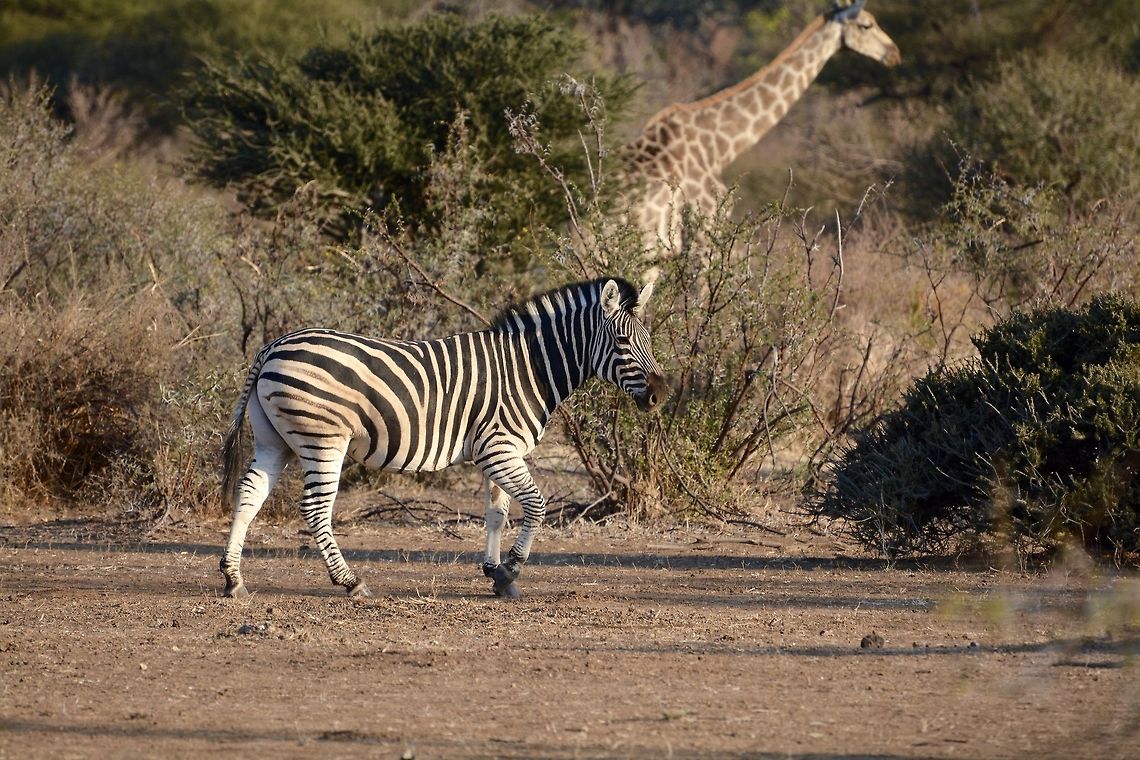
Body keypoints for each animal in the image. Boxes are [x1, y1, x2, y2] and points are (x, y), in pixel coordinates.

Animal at [219, 276, 669, 600]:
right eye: (623, 341)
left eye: (650, 341)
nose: (660, 396)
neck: (530, 368)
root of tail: (272, 347)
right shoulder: (497, 448)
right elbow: (536, 506)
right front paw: (513, 567)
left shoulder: (498, 450)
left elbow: (497, 513)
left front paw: (496, 573)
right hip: (323, 440)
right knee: (314, 509)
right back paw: (350, 582)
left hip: (274, 440)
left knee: (249, 495)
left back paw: (233, 579)